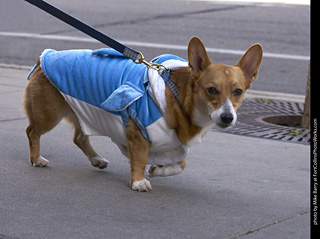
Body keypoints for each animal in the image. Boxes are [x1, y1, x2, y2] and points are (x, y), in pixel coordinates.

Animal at [23, 36, 262, 191]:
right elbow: (140, 158)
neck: (179, 98)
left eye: (238, 91)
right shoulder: (138, 132)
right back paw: (36, 159)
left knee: (79, 137)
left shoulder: (173, 145)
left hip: (84, 112)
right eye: (211, 89)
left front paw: (158, 170)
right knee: (32, 131)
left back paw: (97, 160)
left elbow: (180, 164)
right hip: (49, 115)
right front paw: (138, 181)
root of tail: (45, 57)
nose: (227, 118)